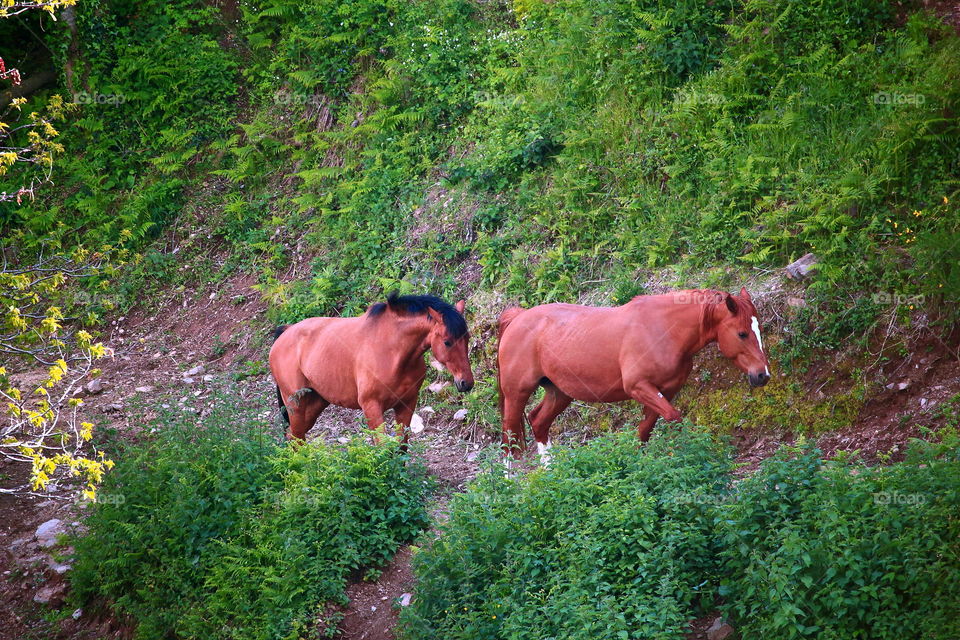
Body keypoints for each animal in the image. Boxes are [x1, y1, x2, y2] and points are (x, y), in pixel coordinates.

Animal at [270, 292, 472, 442]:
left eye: (467, 338)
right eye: (447, 342)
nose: (466, 383)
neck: (393, 352)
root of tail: (285, 332)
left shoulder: (406, 404)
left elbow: (401, 446)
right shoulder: (371, 407)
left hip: (316, 402)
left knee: (294, 436)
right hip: (295, 404)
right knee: (296, 437)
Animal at [498, 288, 768, 460]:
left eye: (759, 330)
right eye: (742, 333)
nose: (762, 375)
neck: (663, 330)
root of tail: (518, 317)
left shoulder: (664, 392)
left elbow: (645, 431)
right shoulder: (639, 387)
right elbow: (674, 419)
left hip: (560, 392)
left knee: (538, 422)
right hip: (516, 394)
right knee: (508, 440)